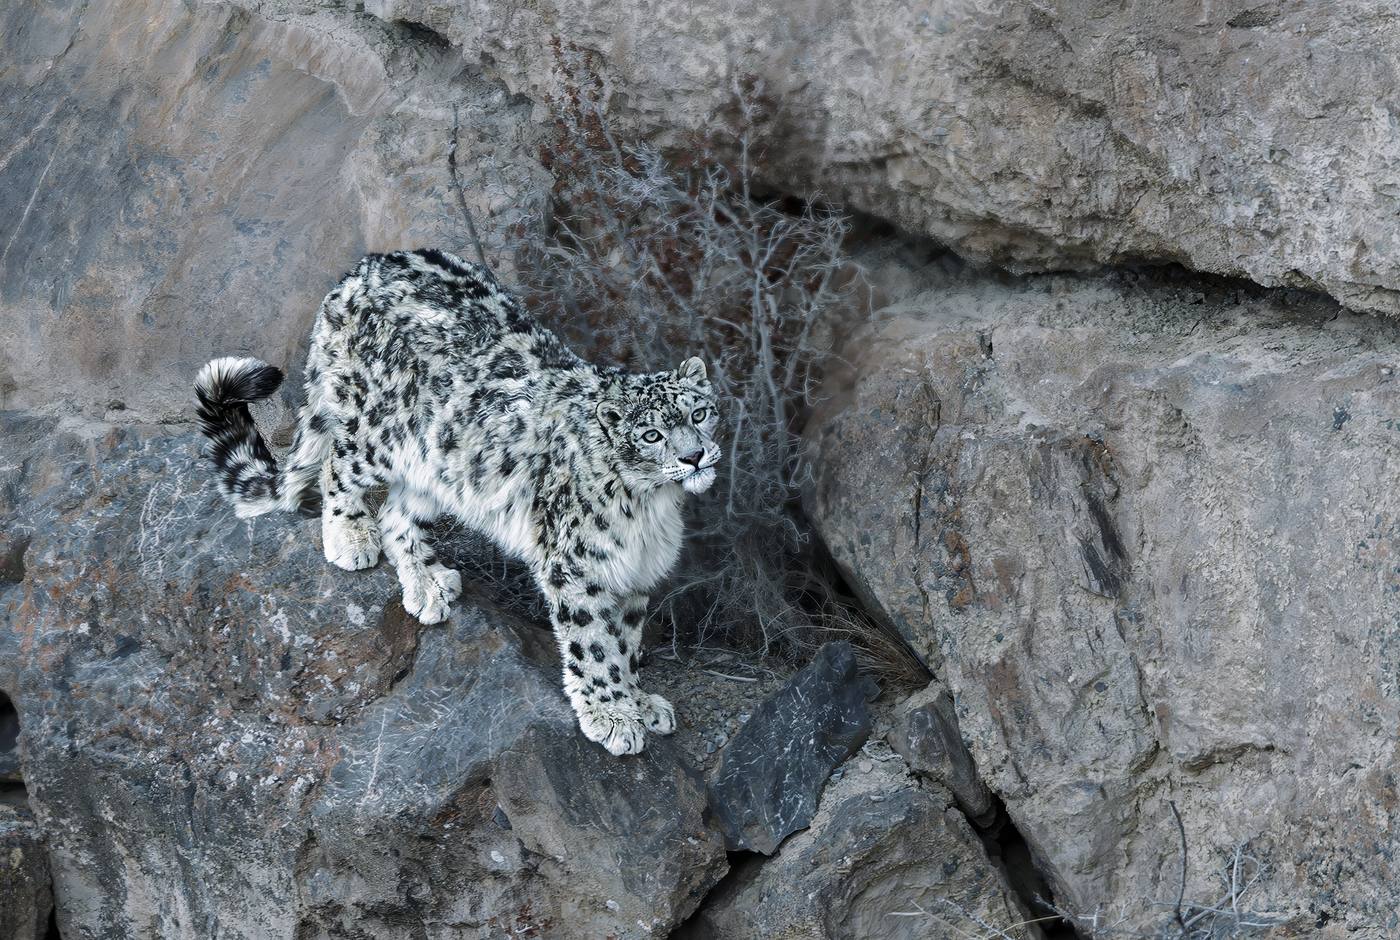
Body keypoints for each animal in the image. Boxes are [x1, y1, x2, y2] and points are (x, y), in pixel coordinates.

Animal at [193, 248, 721, 755]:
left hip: (440, 466)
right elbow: (594, 645)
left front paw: (640, 703)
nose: (694, 456)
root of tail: (358, 272)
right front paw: (613, 717)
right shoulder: (576, 570)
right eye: (651, 435)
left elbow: (625, 643)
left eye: (699, 412)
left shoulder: (634, 573)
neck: (652, 506)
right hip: (380, 434)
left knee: (396, 512)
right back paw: (351, 537)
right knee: (337, 463)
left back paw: (427, 585)